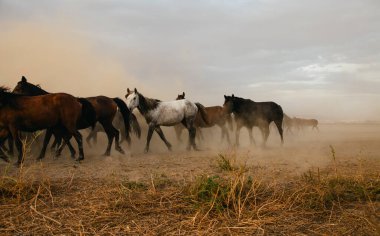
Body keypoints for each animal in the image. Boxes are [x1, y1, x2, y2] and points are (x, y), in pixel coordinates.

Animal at [13, 75, 142, 157]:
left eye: (19, 88)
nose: (11, 96)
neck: (50, 102)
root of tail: (111, 99)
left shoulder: (53, 128)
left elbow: (51, 140)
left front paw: (48, 153)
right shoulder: (61, 128)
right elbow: (65, 138)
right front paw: (63, 152)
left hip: (106, 122)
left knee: (114, 133)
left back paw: (115, 150)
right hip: (106, 123)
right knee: (113, 134)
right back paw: (108, 152)